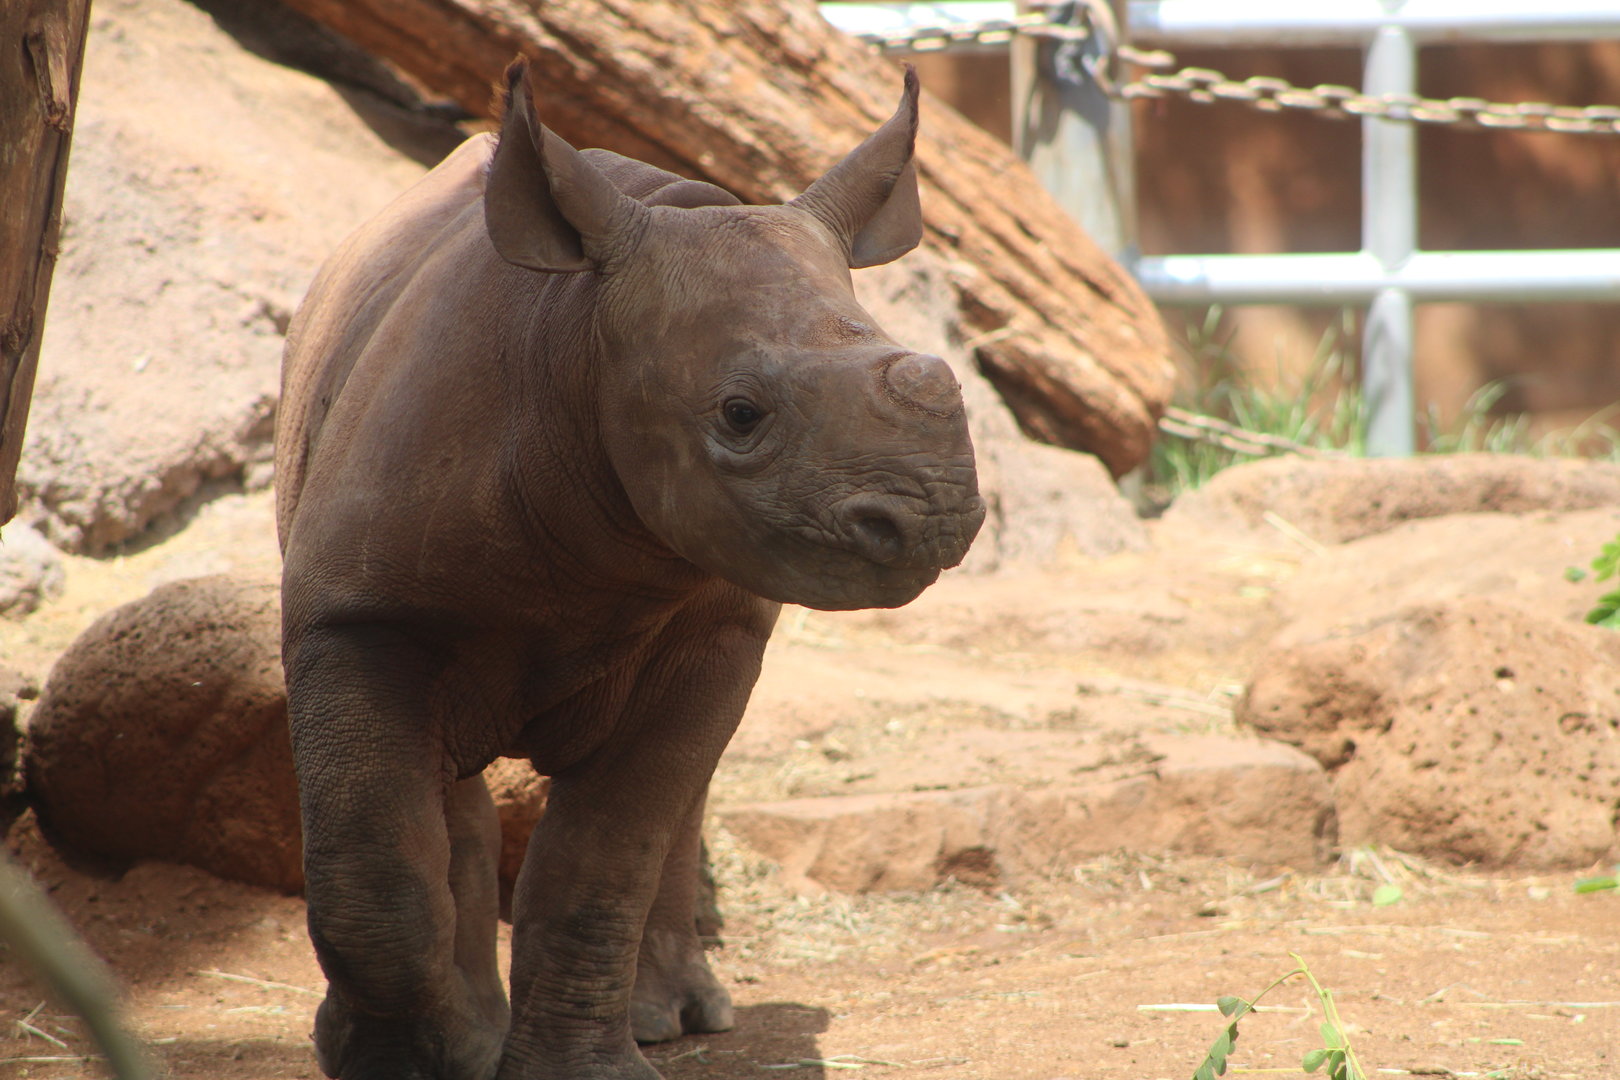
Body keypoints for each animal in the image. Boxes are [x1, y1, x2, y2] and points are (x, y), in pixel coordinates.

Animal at [275, 59, 983, 1080]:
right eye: (738, 414)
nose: (934, 520)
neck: (578, 343)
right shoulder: (355, 614)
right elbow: (376, 869)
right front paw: (401, 1060)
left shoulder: (715, 627)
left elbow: (603, 861)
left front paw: (578, 1070)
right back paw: (478, 1030)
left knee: (674, 797)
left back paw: (672, 1017)